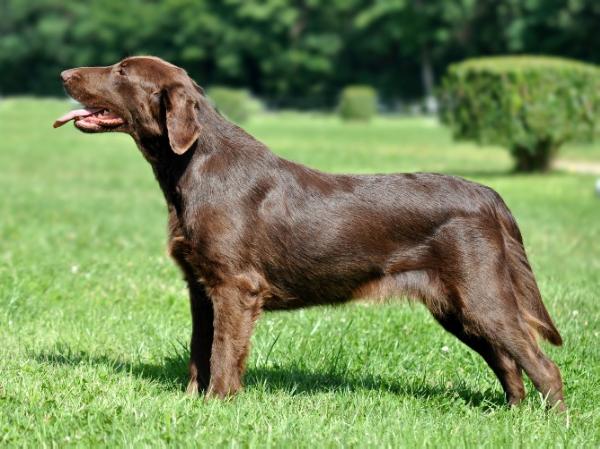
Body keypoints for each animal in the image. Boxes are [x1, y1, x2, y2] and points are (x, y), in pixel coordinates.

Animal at [54, 56, 564, 410]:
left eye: (121, 71)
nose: (63, 73)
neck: (192, 165)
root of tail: (488, 195)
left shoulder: (236, 287)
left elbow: (223, 352)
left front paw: (218, 405)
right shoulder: (201, 288)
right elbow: (200, 350)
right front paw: (191, 403)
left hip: (482, 296)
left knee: (543, 364)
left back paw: (550, 423)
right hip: (456, 307)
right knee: (508, 362)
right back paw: (511, 414)